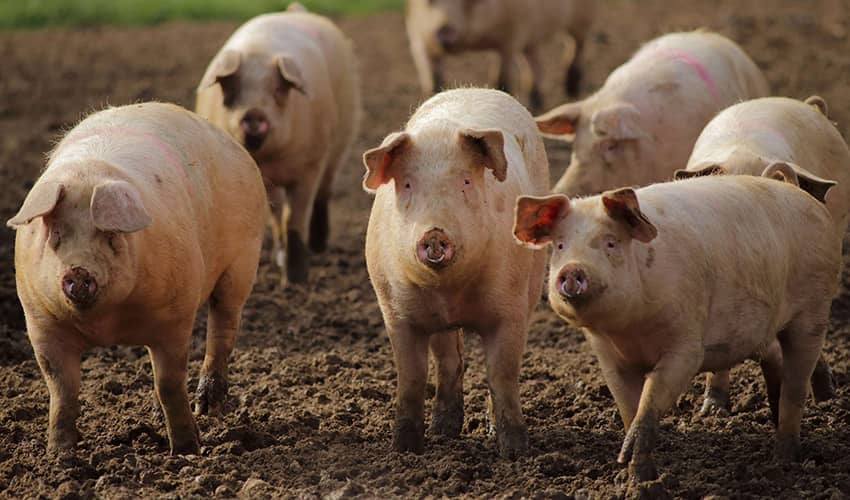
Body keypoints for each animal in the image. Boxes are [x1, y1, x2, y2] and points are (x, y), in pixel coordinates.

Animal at [8, 103, 267, 455]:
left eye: (110, 235)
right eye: (55, 234)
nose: (78, 271)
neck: (107, 326)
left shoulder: (175, 316)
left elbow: (169, 383)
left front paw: (187, 450)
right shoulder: (40, 321)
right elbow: (62, 390)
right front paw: (59, 455)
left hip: (243, 261)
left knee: (223, 327)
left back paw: (207, 408)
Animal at [196, 4, 361, 285]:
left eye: (277, 90)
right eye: (232, 89)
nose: (253, 113)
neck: (275, 159)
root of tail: (296, 10)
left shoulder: (309, 167)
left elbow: (294, 219)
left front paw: (295, 281)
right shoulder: (263, 178)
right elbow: (274, 219)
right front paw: (282, 264)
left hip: (341, 138)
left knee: (324, 191)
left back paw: (318, 246)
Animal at [362, 88, 548, 457]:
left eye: (465, 181)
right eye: (407, 184)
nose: (435, 233)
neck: (449, 290)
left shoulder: (511, 309)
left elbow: (501, 374)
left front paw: (515, 452)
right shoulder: (395, 312)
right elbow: (411, 377)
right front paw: (404, 449)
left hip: (534, 285)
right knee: (449, 360)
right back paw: (444, 431)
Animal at [406, 0, 596, 110]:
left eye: (468, 1)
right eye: (430, 1)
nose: (444, 29)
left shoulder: (511, 37)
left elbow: (501, 78)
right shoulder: (417, 39)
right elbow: (432, 81)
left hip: (583, 18)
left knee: (577, 45)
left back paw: (572, 91)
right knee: (534, 62)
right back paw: (536, 104)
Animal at [513, 174, 841, 485]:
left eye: (610, 243)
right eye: (559, 246)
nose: (572, 269)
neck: (631, 328)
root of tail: (810, 201)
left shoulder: (686, 345)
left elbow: (651, 399)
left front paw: (632, 464)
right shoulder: (608, 355)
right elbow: (629, 408)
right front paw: (633, 477)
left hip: (813, 311)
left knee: (796, 386)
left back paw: (784, 459)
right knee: (774, 357)